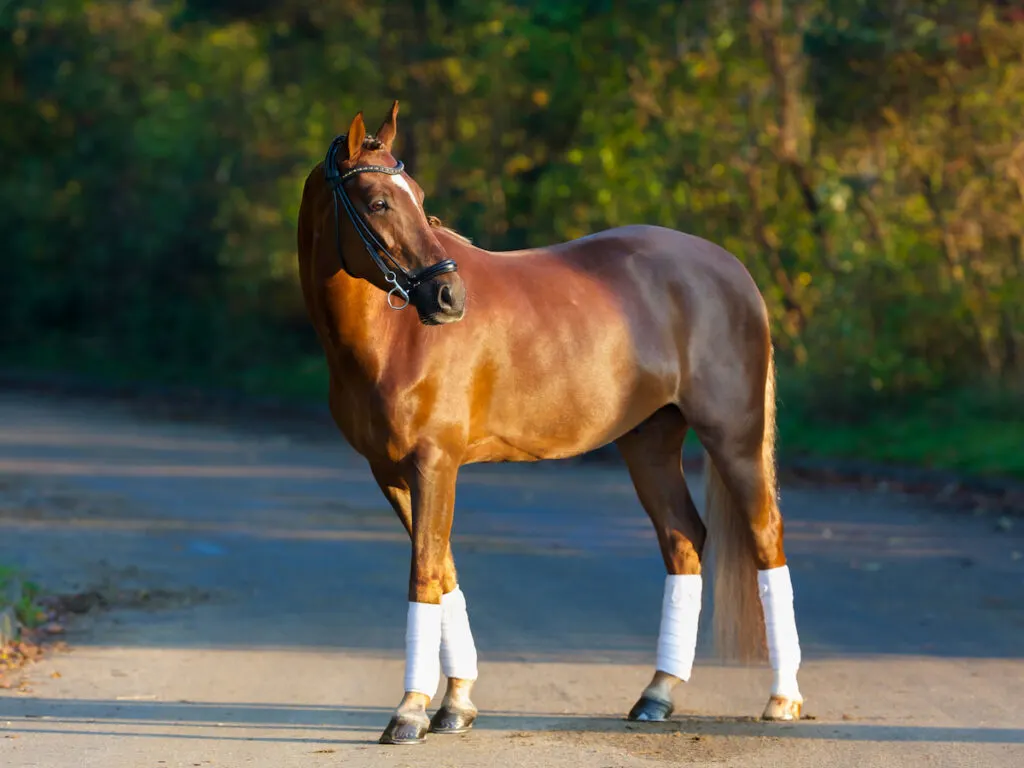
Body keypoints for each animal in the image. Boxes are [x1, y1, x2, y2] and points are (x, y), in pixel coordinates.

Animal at [292, 100, 802, 745]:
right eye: (379, 201)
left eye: (418, 195)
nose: (449, 296)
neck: (394, 337)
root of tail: (732, 269)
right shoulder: (391, 471)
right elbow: (444, 570)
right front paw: (456, 703)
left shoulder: (435, 463)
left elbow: (424, 573)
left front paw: (410, 710)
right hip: (650, 442)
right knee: (683, 539)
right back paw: (658, 694)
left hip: (734, 438)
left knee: (766, 539)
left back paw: (783, 697)